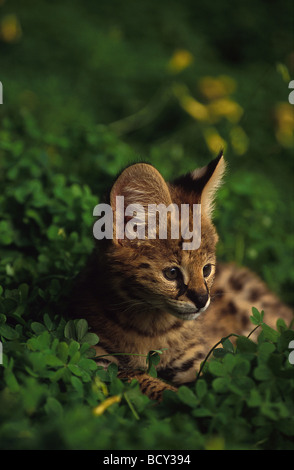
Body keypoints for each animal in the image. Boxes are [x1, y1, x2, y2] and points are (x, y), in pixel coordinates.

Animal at [70, 154, 292, 400]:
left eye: (206, 270)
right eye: (172, 273)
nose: (203, 301)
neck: (150, 325)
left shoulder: (199, 362)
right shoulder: (99, 360)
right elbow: (146, 381)